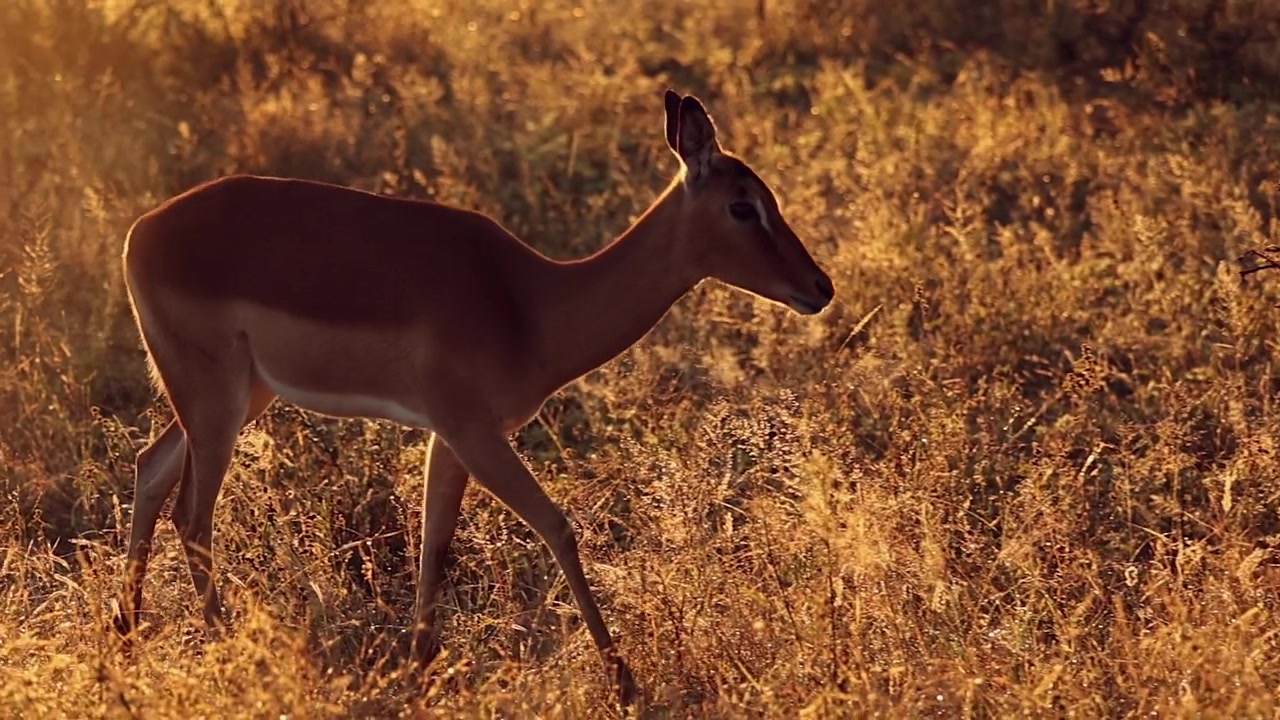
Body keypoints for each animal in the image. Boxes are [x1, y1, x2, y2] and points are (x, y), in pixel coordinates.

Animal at [113, 89, 835, 707]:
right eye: (743, 206)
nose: (820, 287)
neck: (532, 304)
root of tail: (139, 231)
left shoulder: (449, 438)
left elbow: (434, 545)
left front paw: (417, 675)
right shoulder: (475, 432)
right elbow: (557, 527)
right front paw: (626, 685)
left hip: (239, 396)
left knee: (150, 469)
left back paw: (124, 640)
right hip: (217, 398)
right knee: (191, 514)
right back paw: (232, 649)